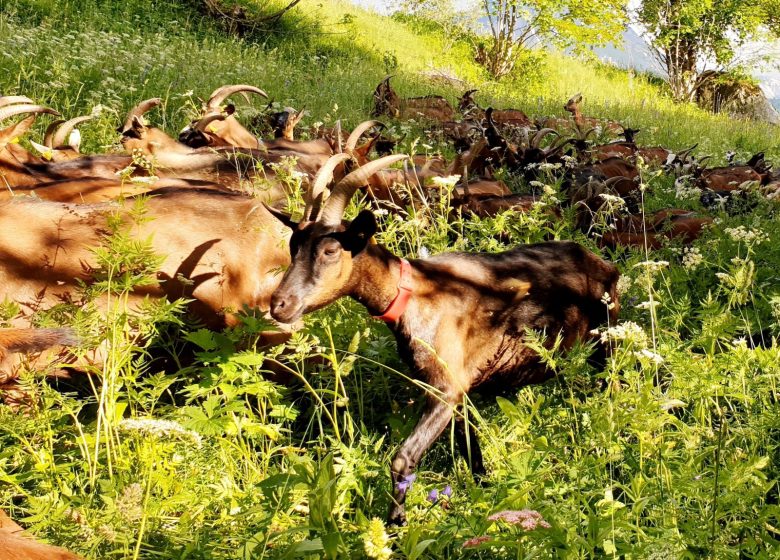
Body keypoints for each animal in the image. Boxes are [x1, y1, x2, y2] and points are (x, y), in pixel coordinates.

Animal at [268, 151, 620, 524]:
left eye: (330, 251)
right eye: (293, 247)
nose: (280, 305)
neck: (414, 293)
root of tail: (603, 265)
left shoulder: (444, 390)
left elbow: (402, 459)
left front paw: (396, 523)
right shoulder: (459, 386)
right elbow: (470, 446)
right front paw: (484, 493)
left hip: (605, 345)